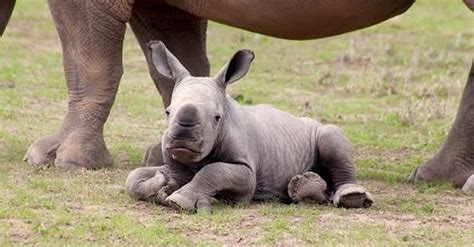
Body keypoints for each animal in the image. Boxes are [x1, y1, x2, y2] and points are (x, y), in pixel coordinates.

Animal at [126, 41, 374, 210]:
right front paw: (160, 183)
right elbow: (133, 178)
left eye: (217, 117)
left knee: (331, 137)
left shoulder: (246, 171)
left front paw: (180, 200)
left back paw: (352, 197)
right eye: (167, 112)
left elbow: (213, 171)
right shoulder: (174, 164)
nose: (182, 139)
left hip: (319, 129)